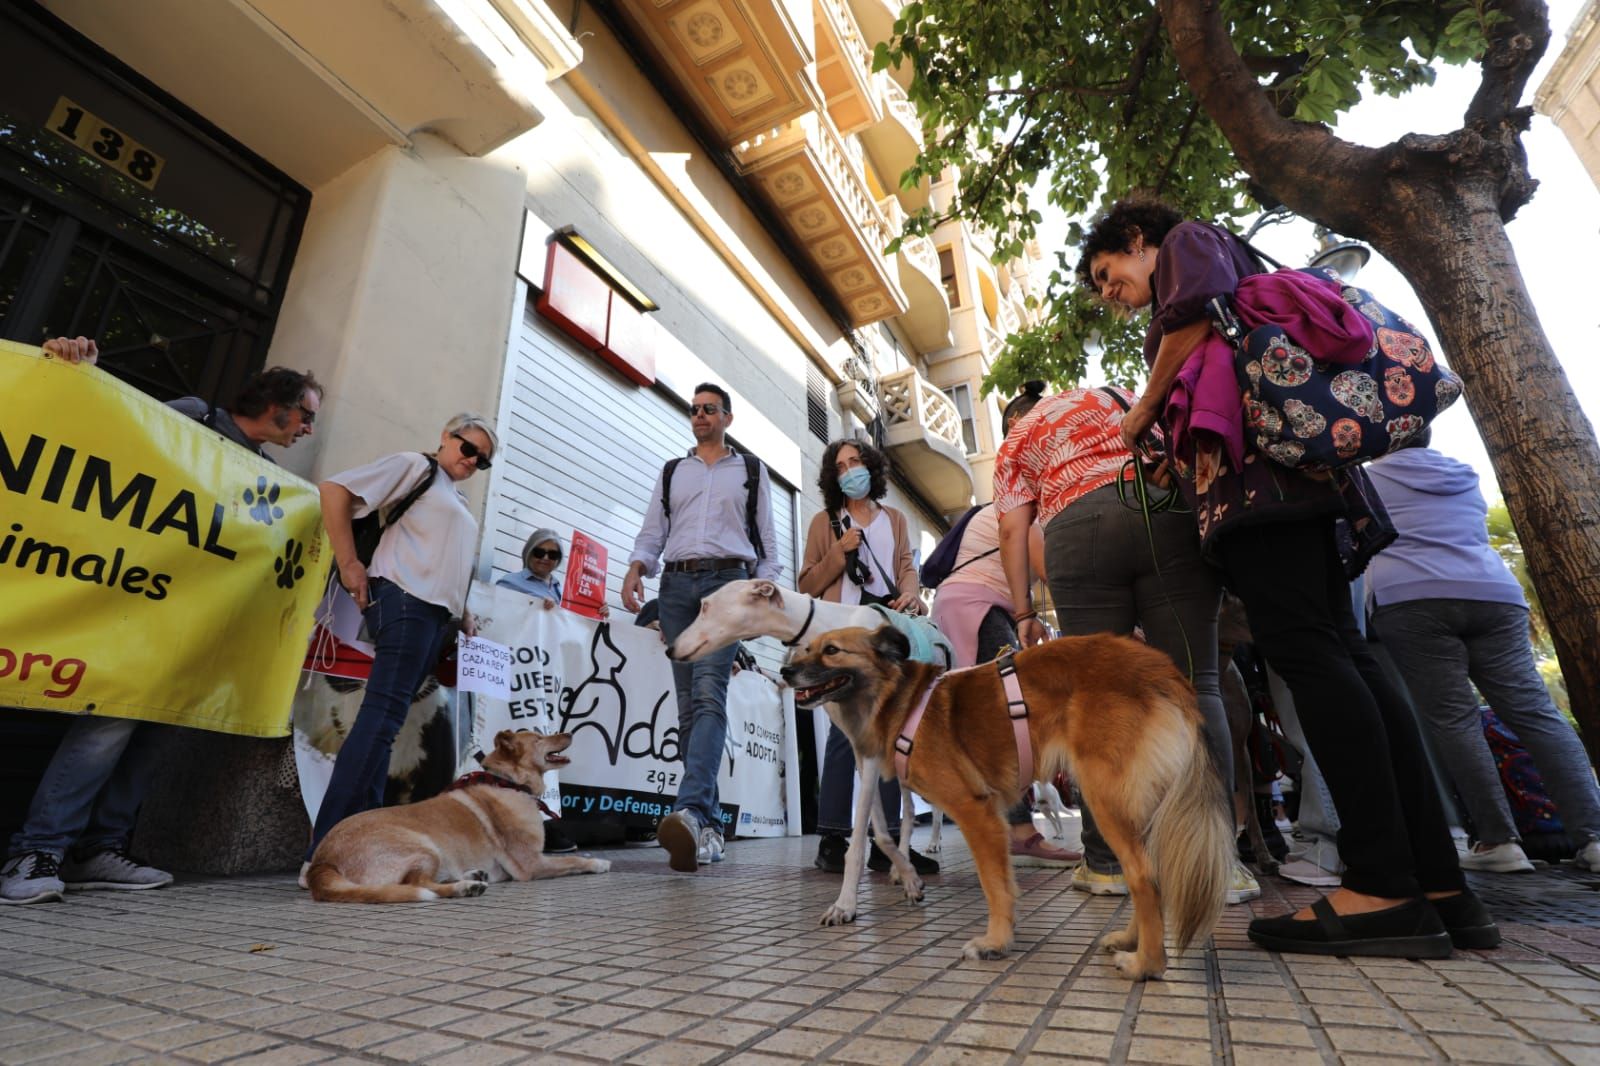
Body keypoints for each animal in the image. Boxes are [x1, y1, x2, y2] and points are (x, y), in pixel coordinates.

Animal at [308, 726, 608, 902]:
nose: (569, 733)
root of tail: (322, 862)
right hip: (423, 847)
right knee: (418, 883)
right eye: (539, 739)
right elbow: (573, 860)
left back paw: (472, 875)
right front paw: (598, 862)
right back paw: (464, 887)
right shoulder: (532, 864)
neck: (508, 782)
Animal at [780, 624, 1228, 979]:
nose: (785, 671)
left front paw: (995, 942)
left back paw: (1146, 964)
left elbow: (994, 884)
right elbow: (891, 838)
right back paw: (1130, 940)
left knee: (1143, 875)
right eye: (804, 647)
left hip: (1105, 798)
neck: (904, 704)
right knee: (1146, 874)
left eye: (831, 650)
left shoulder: (975, 809)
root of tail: (1162, 670)